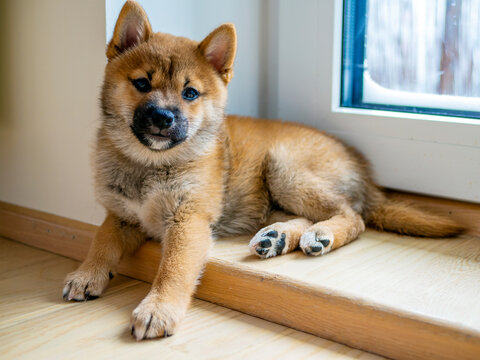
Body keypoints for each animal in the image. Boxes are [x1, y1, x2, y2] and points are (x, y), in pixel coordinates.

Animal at [62, 0, 464, 340]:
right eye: (142, 84)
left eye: (190, 93)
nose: (162, 117)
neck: (150, 164)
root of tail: (365, 174)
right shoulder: (121, 216)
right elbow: (101, 241)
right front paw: (87, 274)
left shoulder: (188, 221)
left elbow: (173, 269)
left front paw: (158, 308)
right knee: (311, 216)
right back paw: (281, 237)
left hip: (283, 167)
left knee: (352, 216)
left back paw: (321, 235)